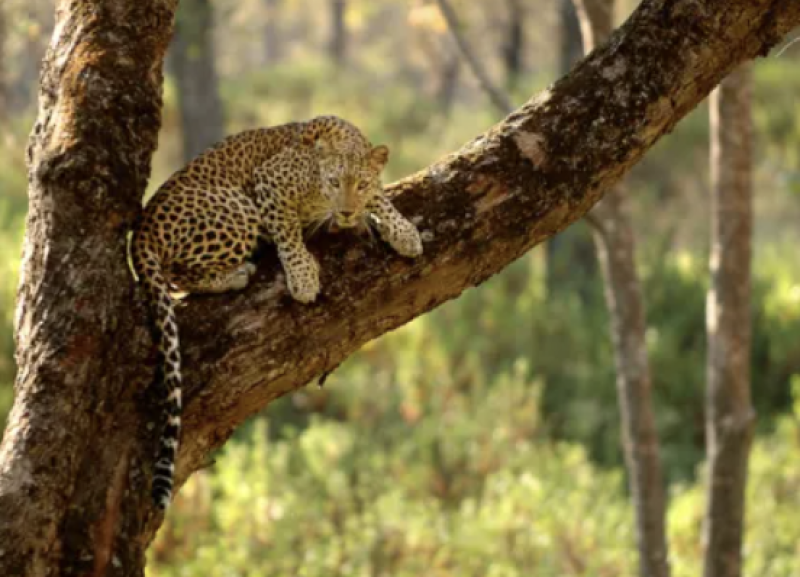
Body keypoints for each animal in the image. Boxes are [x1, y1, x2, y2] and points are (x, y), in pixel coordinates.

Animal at [131, 115, 423, 511]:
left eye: (358, 184)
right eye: (334, 183)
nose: (346, 212)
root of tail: (140, 232)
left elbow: (380, 196)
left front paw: (403, 231)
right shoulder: (269, 183)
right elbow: (287, 232)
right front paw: (303, 276)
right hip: (237, 208)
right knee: (178, 274)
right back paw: (237, 274)